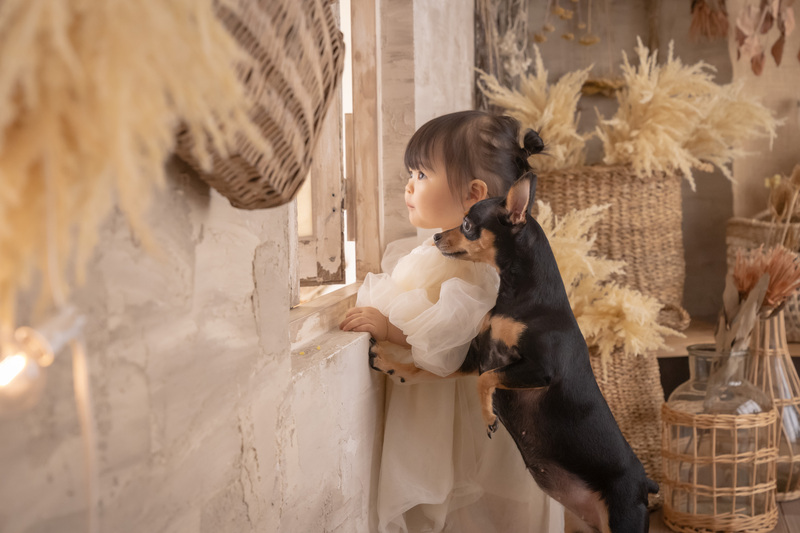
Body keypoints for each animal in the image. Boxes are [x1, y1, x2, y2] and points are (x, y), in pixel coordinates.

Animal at [368, 174, 656, 528]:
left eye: (467, 224)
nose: (435, 236)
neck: (521, 298)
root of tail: (645, 482)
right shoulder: (476, 360)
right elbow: (426, 371)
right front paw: (390, 362)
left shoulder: (537, 370)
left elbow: (486, 381)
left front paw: (488, 416)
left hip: (622, 518)